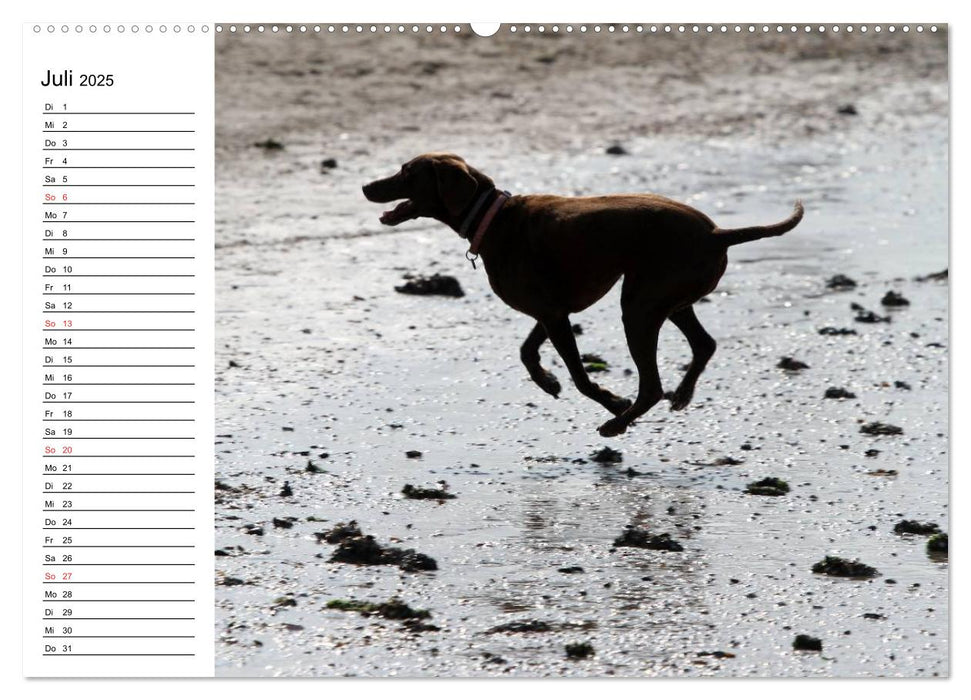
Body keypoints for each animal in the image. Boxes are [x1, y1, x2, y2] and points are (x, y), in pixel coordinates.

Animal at [364, 154, 804, 438]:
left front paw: (611, 401)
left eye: (406, 171)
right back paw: (681, 395)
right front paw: (547, 382)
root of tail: (717, 234)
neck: (494, 218)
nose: (366, 185)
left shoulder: (554, 314)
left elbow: (580, 377)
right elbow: (527, 352)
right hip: (667, 299)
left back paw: (618, 422)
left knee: (652, 384)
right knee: (704, 344)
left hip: (640, 305)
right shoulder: (553, 311)